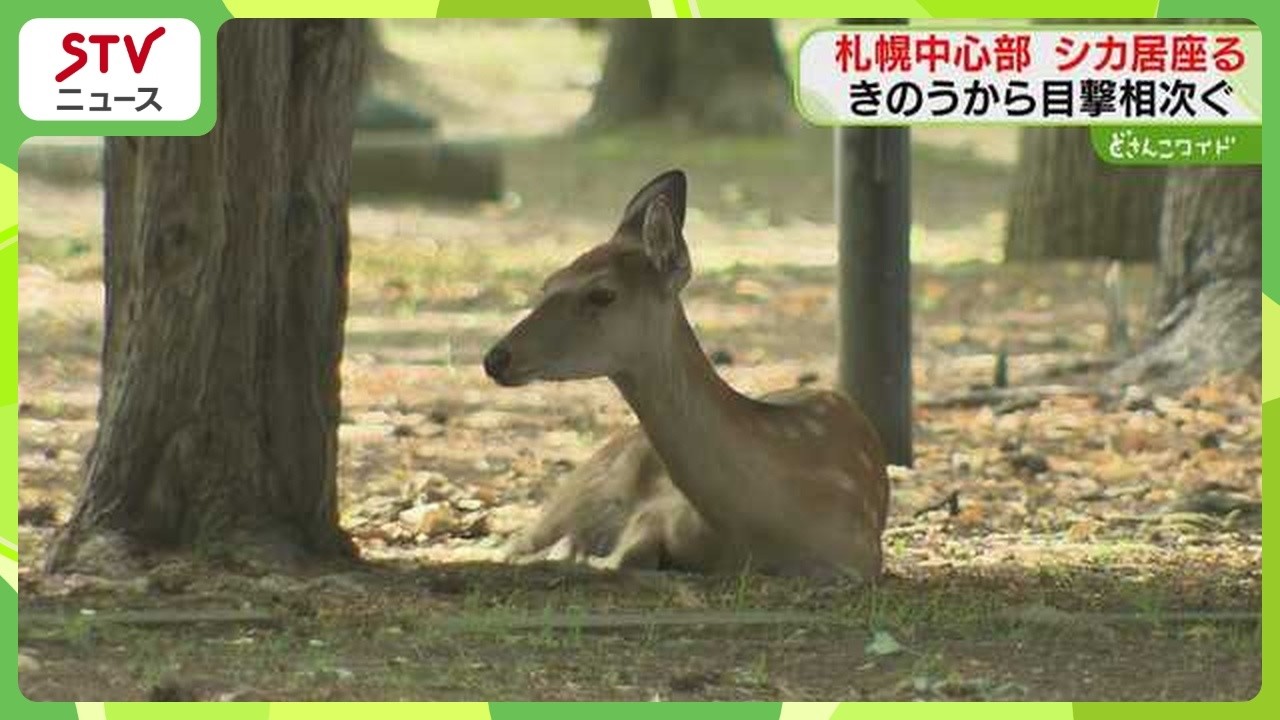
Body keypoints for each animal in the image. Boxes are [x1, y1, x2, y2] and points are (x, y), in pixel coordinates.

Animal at [483, 170, 890, 580]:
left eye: (602, 293)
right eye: (547, 283)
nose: (496, 358)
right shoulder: (663, 510)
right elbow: (625, 555)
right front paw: (578, 554)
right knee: (513, 545)